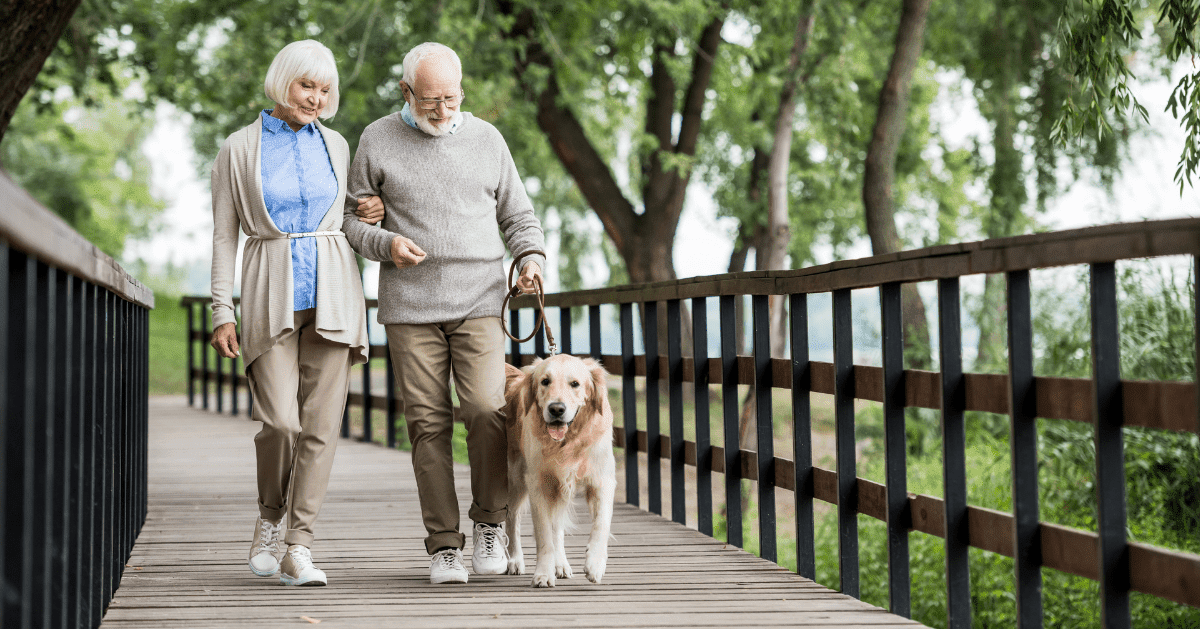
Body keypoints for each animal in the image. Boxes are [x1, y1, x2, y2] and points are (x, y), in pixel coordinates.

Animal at [501, 355, 614, 588]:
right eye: (545, 381)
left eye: (575, 384)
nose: (556, 409)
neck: (567, 442)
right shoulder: (538, 483)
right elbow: (544, 534)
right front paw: (543, 574)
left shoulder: (602, 480)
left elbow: (601, 523)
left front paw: (595, 564)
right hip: (515, 477)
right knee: (512, 517)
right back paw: (515, 560)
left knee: (557, 526)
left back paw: (561, 564)